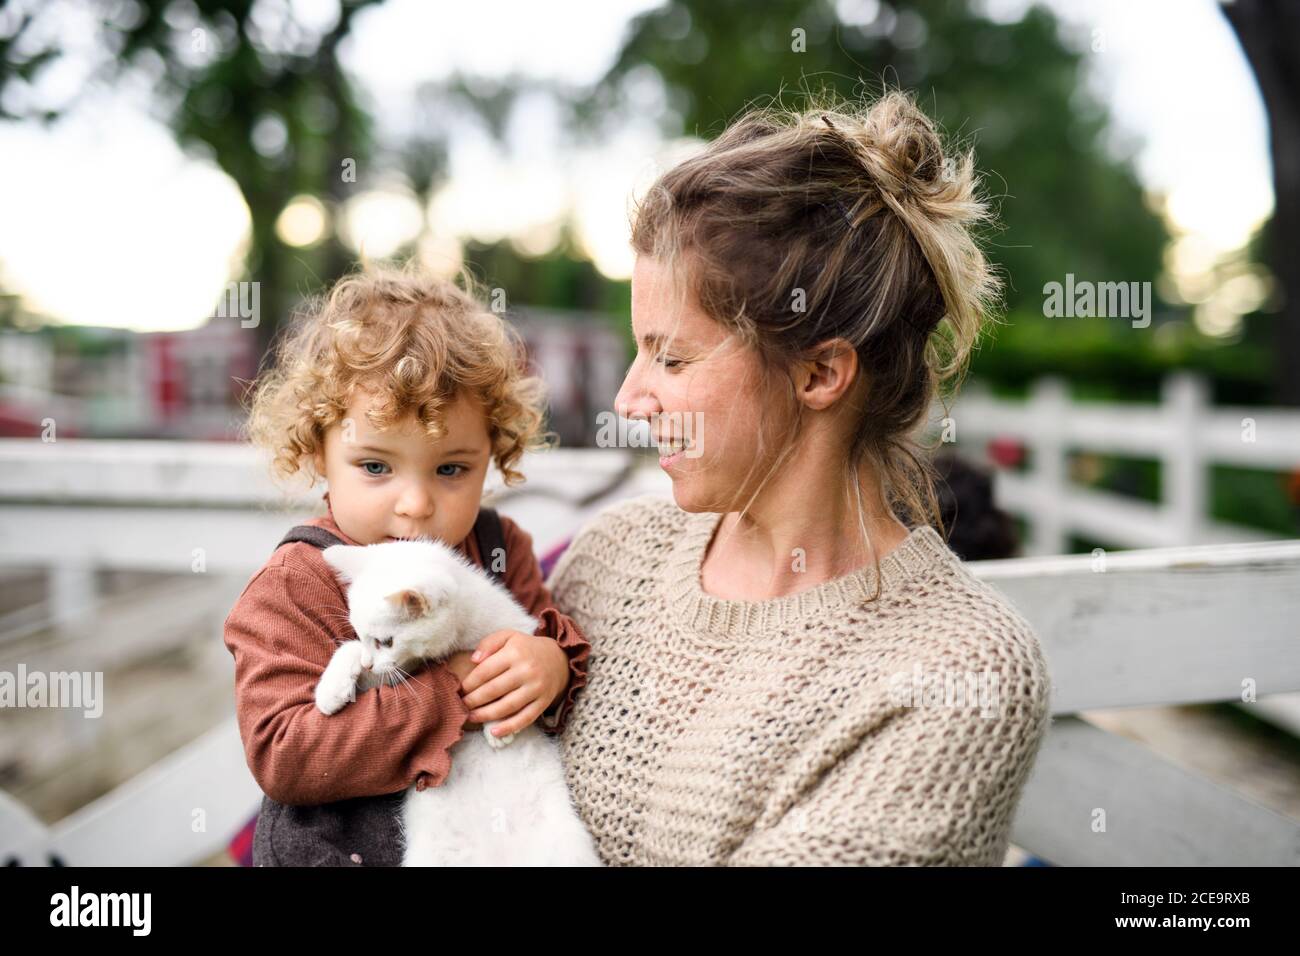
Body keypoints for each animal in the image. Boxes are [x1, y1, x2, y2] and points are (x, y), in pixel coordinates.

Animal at [314, 538, 598, 868]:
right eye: (361, 634)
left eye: (386, 641)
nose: (369, 664)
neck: (455, 640)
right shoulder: (399, 672)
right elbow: (350, 651)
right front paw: (331, 690)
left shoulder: (519, 633)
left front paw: (499, 725)